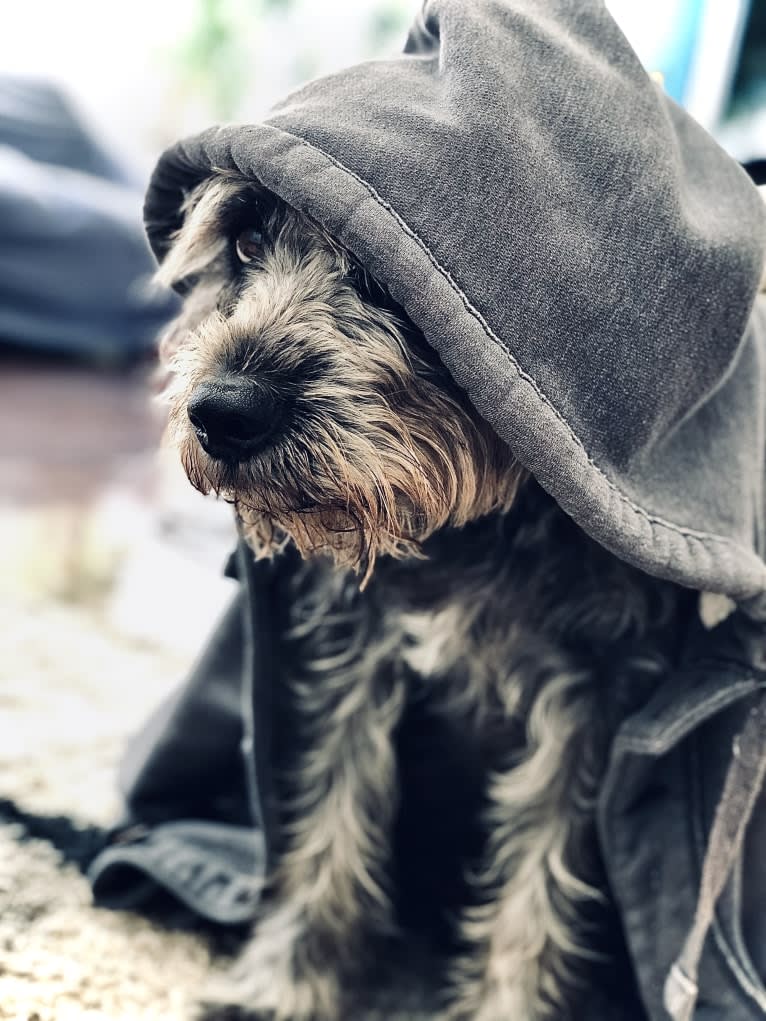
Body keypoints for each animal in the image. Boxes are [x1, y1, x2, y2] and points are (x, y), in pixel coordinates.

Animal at [156, 171, 690, 1016]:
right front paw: (284, 987)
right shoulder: (357, 656)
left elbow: (535, 896)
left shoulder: (587, 707)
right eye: (244, 240)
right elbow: (331, 829)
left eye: (391, 272)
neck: (473, 528)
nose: (222, 411)